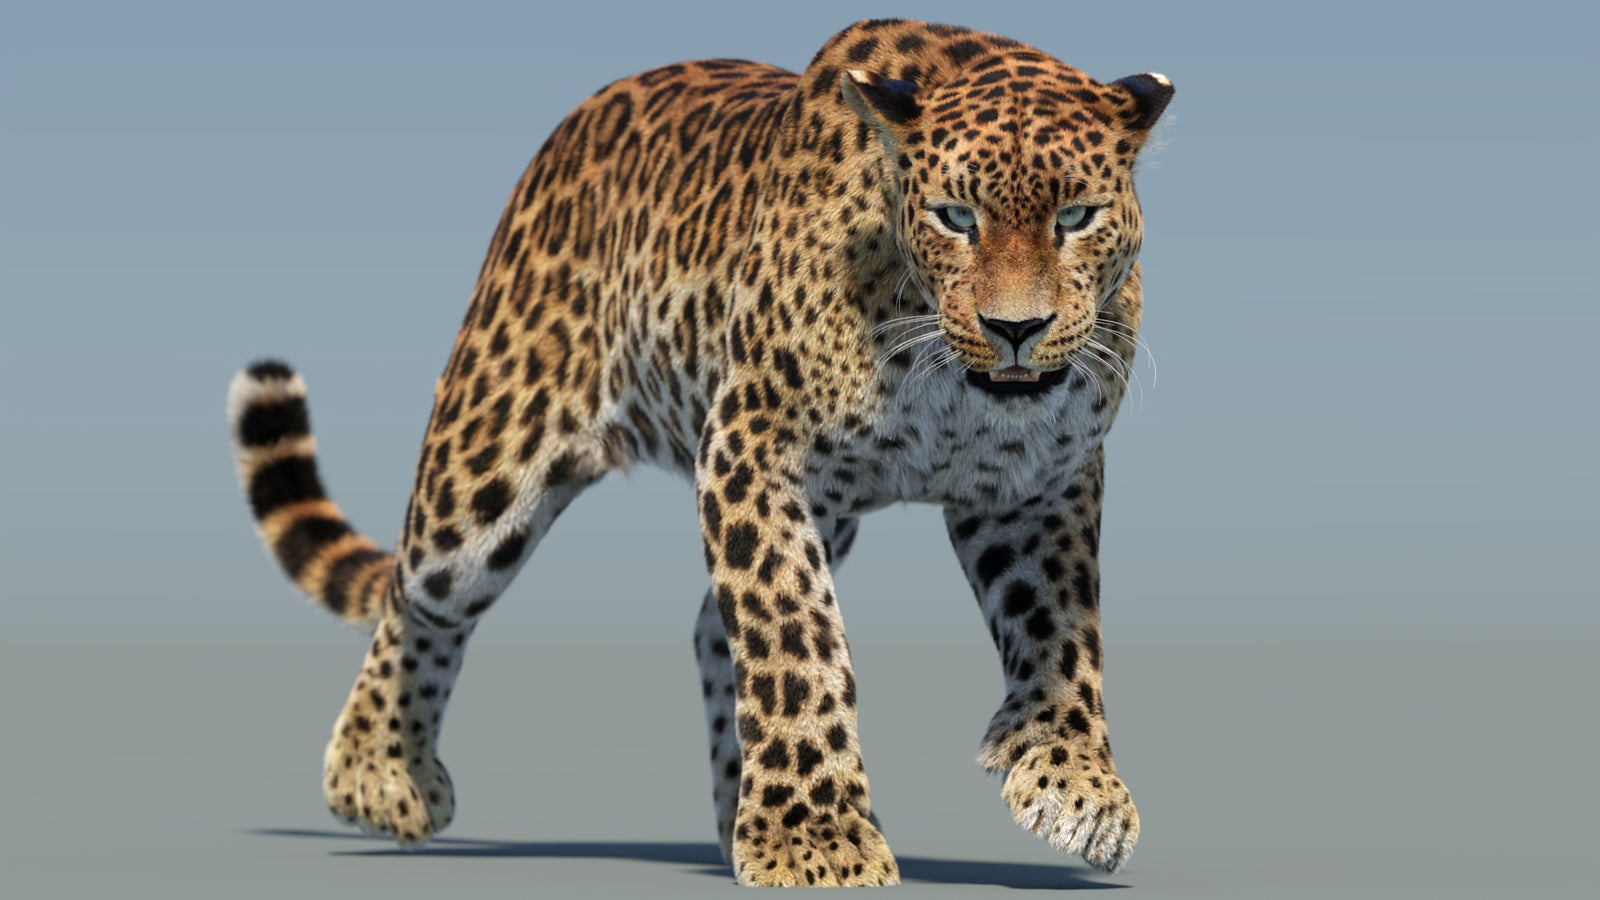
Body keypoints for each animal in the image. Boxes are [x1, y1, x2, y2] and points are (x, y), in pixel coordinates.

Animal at [226, 18, 1173, 887]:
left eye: (1076, 218)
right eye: (956, 218)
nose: (1017, 330)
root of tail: (571, 125)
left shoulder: (1037, 479)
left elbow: (1058, 623)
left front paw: (1076, 783)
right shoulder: (753, 446)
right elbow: (794, 636)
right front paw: (815, 840)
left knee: (707, 629)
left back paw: (731, 810)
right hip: (489, 460)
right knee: (419, 592)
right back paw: (379, 773)